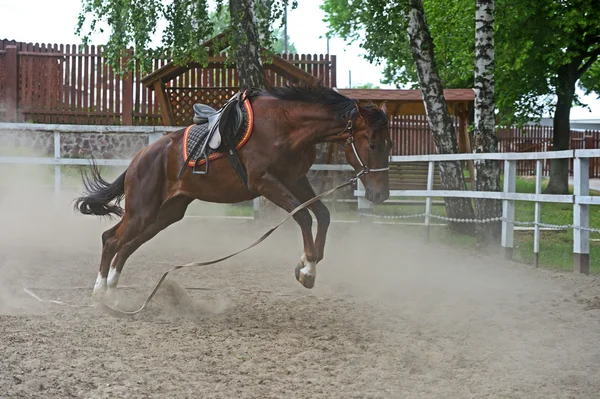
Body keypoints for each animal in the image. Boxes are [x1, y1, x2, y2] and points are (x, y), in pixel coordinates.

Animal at [74, 81, 394, 300]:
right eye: (373, 144)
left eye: (389, 144)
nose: (381, 196)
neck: (285, 125)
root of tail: (139, 159)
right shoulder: (265, 182)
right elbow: (303, 216)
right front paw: (307, 271)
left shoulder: (296, 180)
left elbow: (322, 215)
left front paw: (308, 261)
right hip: (142, 210)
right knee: (110, 239)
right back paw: (100, 291)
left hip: (165, 214)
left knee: (127, 245)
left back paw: (112, 287)